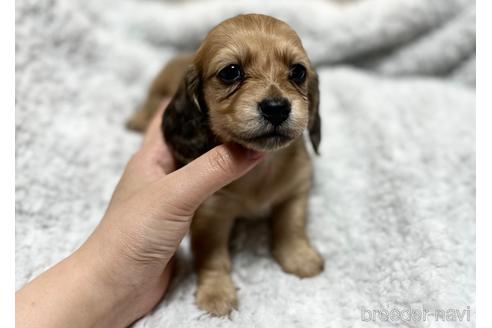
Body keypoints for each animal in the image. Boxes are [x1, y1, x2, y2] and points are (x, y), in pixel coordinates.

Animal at [127, 14, 322, 316]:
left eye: (298, 72)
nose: (276, 107)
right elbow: (213, 257)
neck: (260, 174)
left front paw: (299, 257)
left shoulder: (295, 190)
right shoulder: (210, 215)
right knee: (148, 103)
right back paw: (137, 119)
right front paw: (216, 293)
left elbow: (291, 225)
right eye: (231, 72)